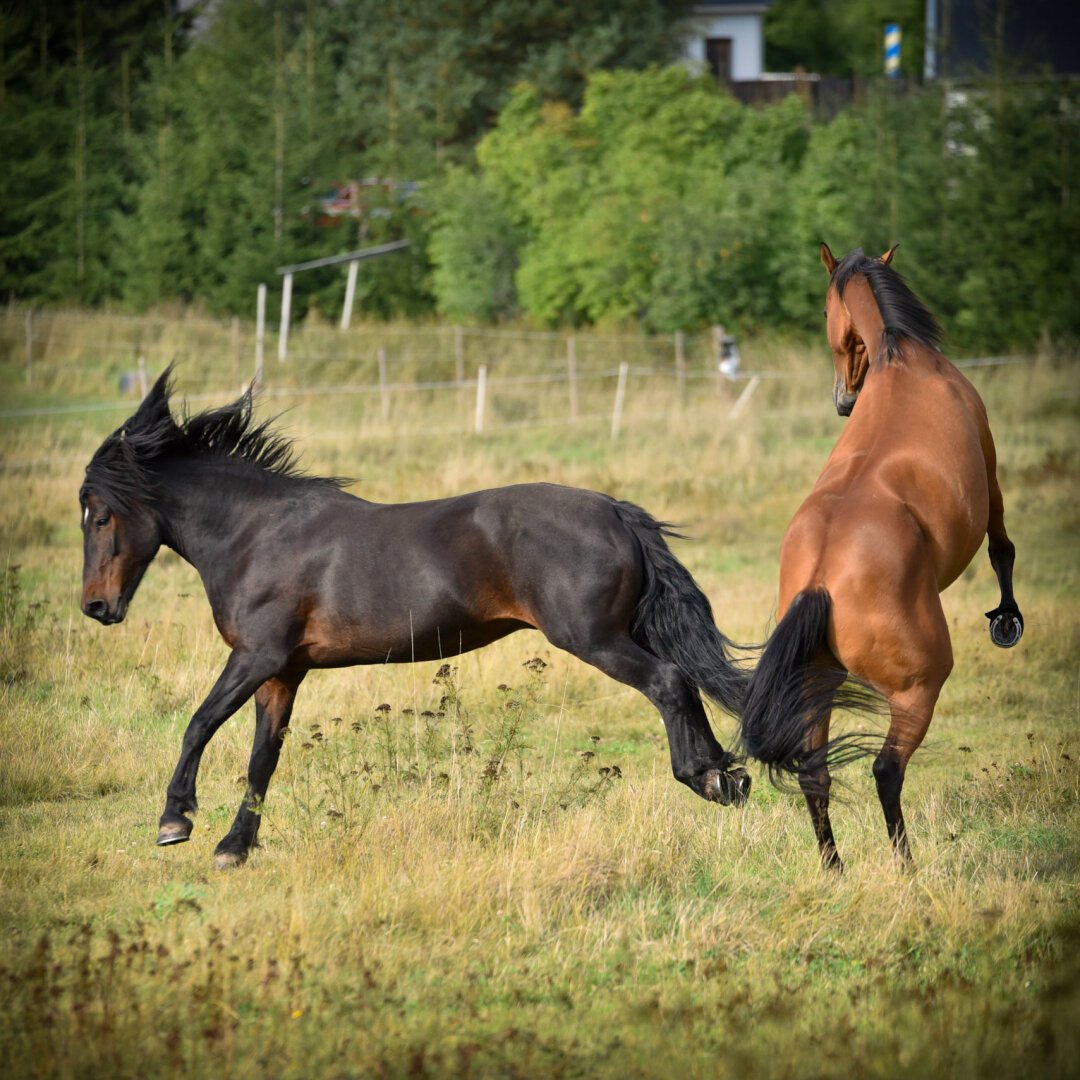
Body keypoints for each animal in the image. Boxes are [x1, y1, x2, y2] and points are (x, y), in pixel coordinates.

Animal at [79, 367, 751, 869]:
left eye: (100, 514)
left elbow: (199, 724)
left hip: (594, 638)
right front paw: (233, 848)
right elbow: (261, 758)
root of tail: (614, 509)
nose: (96, 608)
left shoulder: (255, 657)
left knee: (669, 682)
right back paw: (728, 777)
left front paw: (175, 821)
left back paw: (706, 778)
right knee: (686, 683)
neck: (256, 533)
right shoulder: (282, 673)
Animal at [738, 243, 1023, 869]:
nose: (844, 400)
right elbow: (1003, 546)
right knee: (886, 768)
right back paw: (906, 865)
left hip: (816, 687)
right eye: (826, 310)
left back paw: (834, 866)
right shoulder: (990, 465)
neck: (902, 360)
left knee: (814, 772)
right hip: (919, 687)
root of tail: (820, 582)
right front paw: (1007, 618)